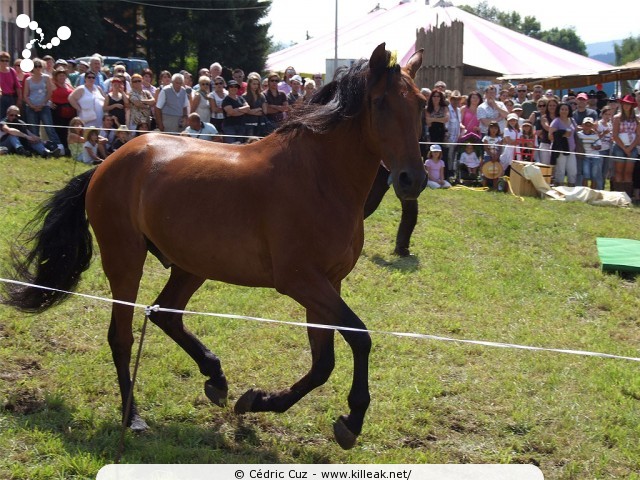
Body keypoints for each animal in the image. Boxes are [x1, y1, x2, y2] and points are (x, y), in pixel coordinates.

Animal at [5, 43, 428, 448]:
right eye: (381, 103)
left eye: (421, 104)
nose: (413, 180)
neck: (319, 176)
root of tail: (107, 163)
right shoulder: (300, 281)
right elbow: (359, 336)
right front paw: (352, 419)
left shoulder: (327, 283)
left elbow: (323, 362)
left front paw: (258, 400)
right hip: (125, 259)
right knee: (121, 337)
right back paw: (134, 417)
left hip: (191, 265)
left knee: (165, 313)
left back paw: (216, 378)